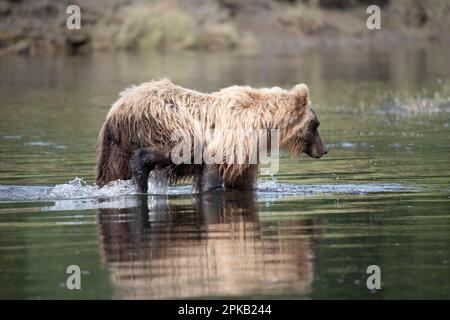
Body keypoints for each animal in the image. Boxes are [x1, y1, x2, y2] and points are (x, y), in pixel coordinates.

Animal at [95, 78, 326, 192]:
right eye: (315, 125)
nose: (324, 149)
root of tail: (116, 108)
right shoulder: (228, 144)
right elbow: (211, 176)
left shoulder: (247, 156)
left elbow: (242, 183)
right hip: (164, 123)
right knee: (173, 150)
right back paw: (140, 169)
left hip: (115, 147)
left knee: (109, 172)